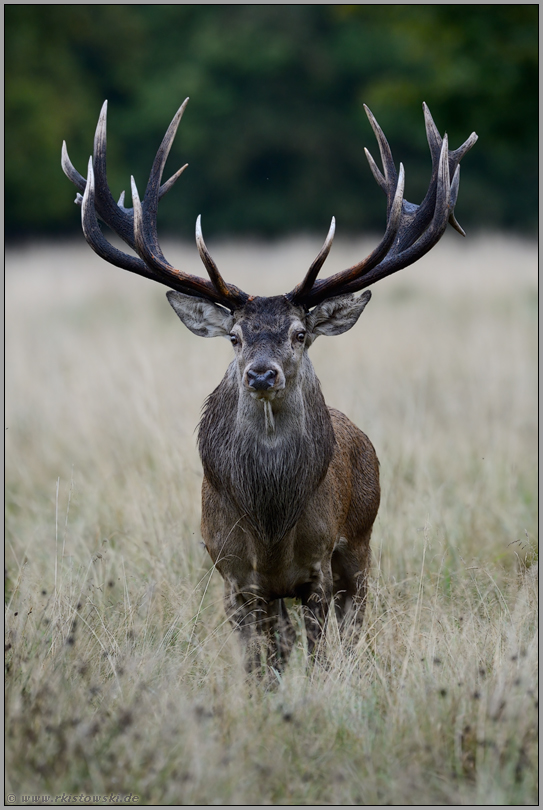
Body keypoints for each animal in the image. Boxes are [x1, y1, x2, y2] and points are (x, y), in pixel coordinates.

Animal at [62, 100, 477, 677]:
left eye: (300, 334)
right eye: (235, 337)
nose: (261, 373)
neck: (271, 527)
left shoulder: (318, 566)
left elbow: (321, 655)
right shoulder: (234, 575)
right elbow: (260, 668)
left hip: (362, 544)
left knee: (355, 625)